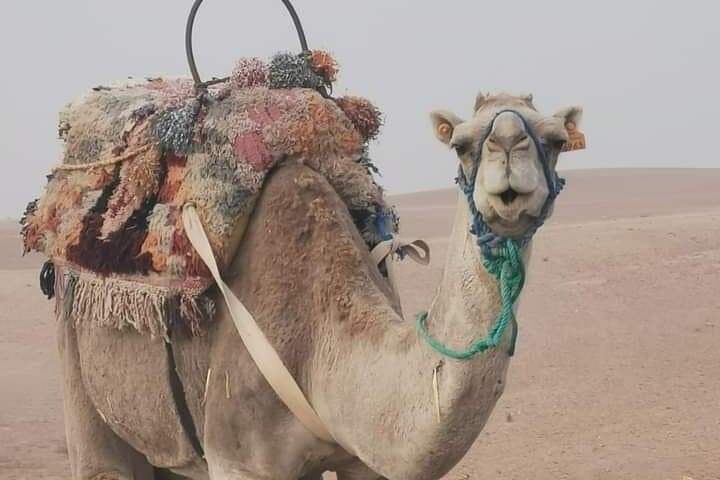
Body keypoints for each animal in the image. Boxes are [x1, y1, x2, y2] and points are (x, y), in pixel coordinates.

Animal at [57, 92, 582, 480]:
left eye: (557, 140)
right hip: (79, 370)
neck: (319, 341)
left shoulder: (362, 458)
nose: (509, 146)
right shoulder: (237, 458)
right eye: (461, 143)